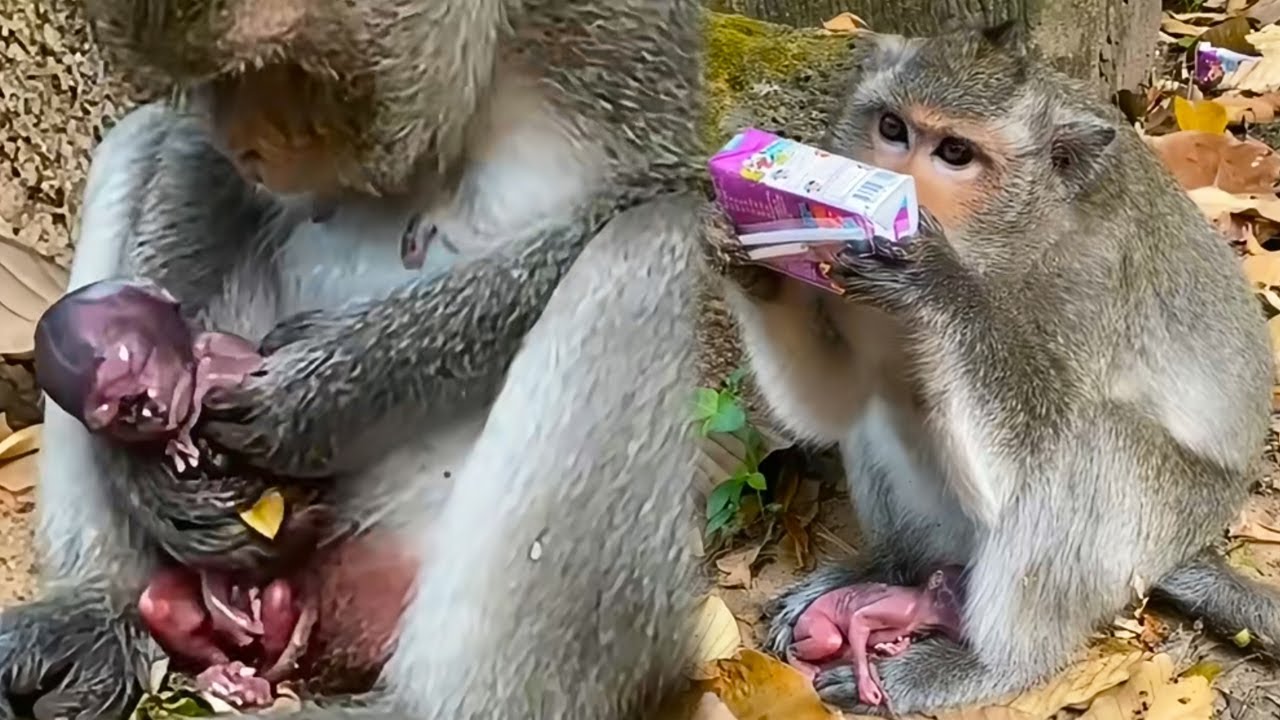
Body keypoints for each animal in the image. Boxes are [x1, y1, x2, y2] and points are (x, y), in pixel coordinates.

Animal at [0, 1, 705, 719]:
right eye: (220, 81)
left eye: (283, 71)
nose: (248, 146)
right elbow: (187, 144)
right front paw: (145, 449)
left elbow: (672, 197)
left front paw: (324, 392)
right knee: (135, 135)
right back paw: (99, 612)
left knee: (650, 243)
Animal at [702, 23, 1279, 715]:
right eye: (893, 128)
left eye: (955, 152)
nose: (893, 177)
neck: (1011, 241)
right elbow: (838, 403)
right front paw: (746, 248)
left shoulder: (1087, 287)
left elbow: (1034, 449)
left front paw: (940, 284)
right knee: (888, 404)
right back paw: (889, 570)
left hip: (1164, 524)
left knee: (1089, 448)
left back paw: (982, 664)